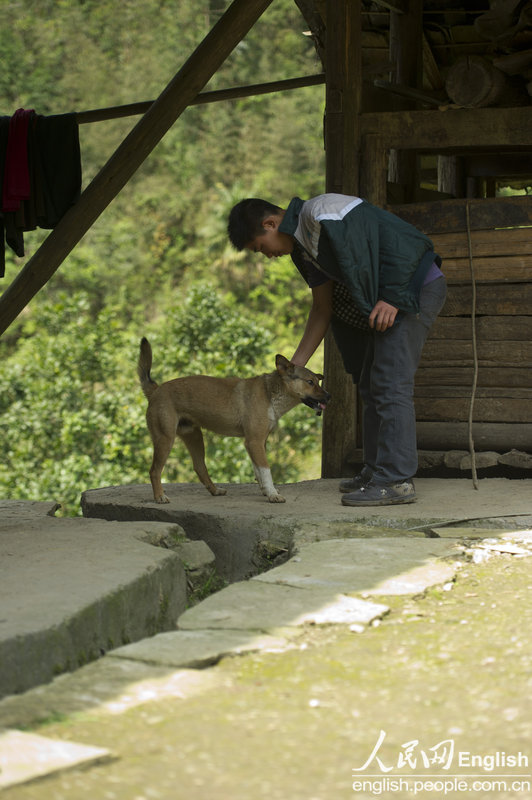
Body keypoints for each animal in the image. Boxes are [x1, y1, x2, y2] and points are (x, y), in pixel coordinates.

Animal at [138, 336, 328, 500]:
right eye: (310, 382)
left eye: (318, 381)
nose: (329, 396)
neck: (271, 393)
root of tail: (156, 390)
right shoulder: (254, 441)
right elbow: (266, 470)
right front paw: (273, 494)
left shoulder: (257, 442)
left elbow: (258, 471)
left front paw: (266, 491)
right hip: (165, 438)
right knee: (154, 471)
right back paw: (160, 497)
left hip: (194, 437)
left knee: (199, 468)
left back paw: (215, 490)